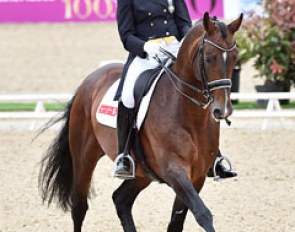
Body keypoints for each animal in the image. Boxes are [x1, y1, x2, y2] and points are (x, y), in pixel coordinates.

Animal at [38, 12, 243, 232]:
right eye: (208, 58)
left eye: (235, 57)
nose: (223, 110)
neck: (189, 115)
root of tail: (90, 80)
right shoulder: (175, 171)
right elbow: (202, 213)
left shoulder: (196, 176)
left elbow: (177, 222)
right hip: (84, 158)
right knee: (79, 206)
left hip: (142, 172)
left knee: (120, 200)